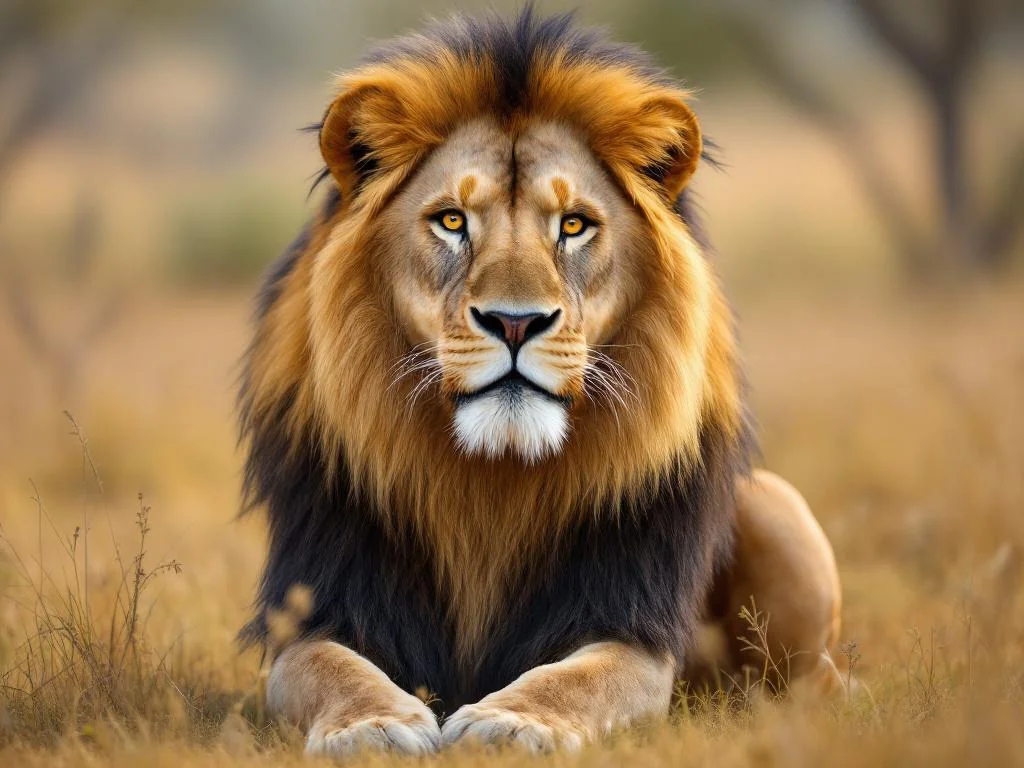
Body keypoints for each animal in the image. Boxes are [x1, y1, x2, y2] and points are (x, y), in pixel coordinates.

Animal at [239, 9, 842, 757]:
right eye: (452, 220)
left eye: (574, 225)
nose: (515, 322)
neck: (491, 481)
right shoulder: (317, 605)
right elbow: (331, 667)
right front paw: (373, 725)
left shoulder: (630, 626)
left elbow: (579, 679)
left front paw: (511, 721)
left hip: (774, 509)